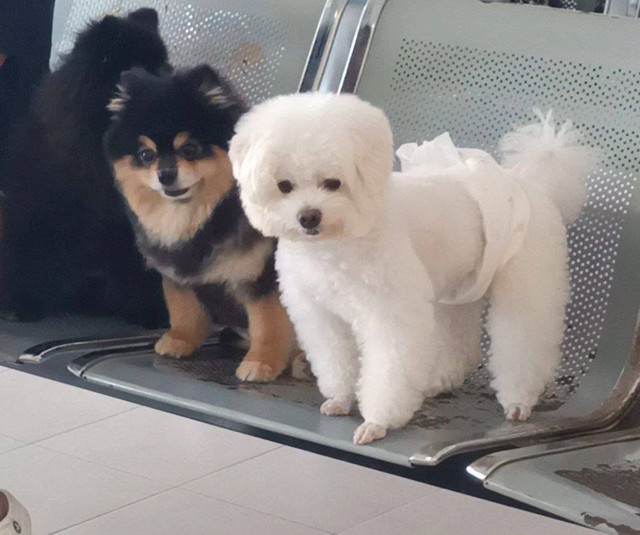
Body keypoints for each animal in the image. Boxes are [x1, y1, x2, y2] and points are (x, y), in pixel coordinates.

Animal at [0, 8, 169, 326]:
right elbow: (31, 264)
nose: (170, 80)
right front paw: (23, 305)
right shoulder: (42, 213)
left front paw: (149, 312)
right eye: (143, 74)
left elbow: (137, 275)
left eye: (165, 67)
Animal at [104, 67, 298, 384]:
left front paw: (261, 362)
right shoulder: (176, 274)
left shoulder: (265, 278)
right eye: (146, 155)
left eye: (190, 149)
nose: (166, 174)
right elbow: (183, 310)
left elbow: (267, 324)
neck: (199, 216)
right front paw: (179, 340)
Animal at [230, 94, 596, 446]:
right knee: (461, 344)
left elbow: (390, 372)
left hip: (525, 281)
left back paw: (519, 400)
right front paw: (341, 400)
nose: (308, 217)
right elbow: (336, 360)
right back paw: (439, 382)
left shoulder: (390, 315)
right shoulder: (322, 317)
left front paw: (377, 422)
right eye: (284, 186)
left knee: (524, 343)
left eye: (333, 183)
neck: (338, 244)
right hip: (458, 291)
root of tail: (532, 184)